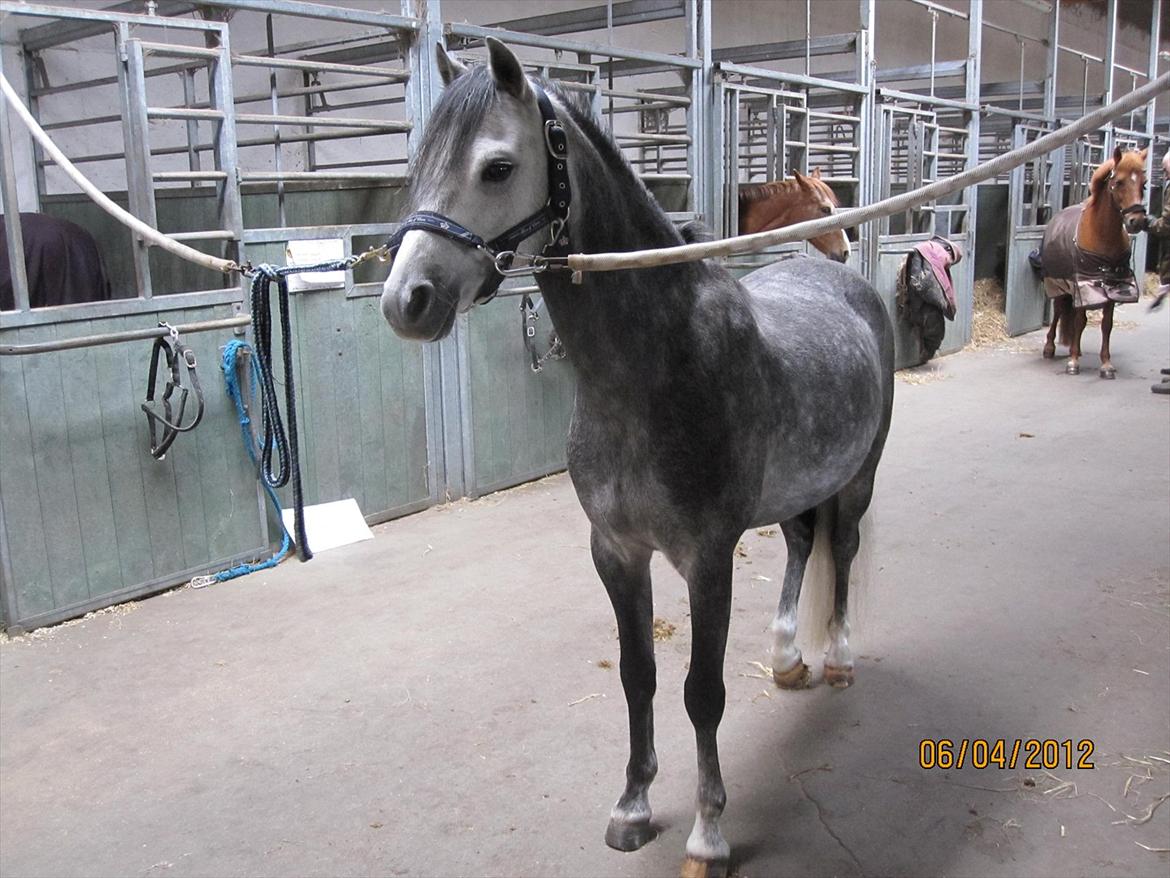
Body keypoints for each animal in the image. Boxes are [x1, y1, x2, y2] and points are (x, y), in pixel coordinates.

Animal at [379, 39, 889, 878]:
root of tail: (842, 279)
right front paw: (633, 807)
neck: (650, 367)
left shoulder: (707, 557)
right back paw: (788, 658)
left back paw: (839, 657)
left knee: (840, 549)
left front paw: (708, 835)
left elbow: (701, 691)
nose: (405, 300)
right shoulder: (615, 551)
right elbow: (637, 676)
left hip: (858, 476)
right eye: (418, 164)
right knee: (801, 544)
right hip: (794, 490)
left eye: (496, 168)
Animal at [1043, 145, 1151, 379]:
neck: (1103, 237)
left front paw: (1106, 364)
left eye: (1144, 183)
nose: (1136, 221)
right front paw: (1073, 362)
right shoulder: (1082, 286)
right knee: (1058, 312)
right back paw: (1050, 348)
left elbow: (1106, 325)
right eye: (1118, 182)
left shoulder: (1114, 286)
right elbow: (1080, 321)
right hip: (1059, 286)